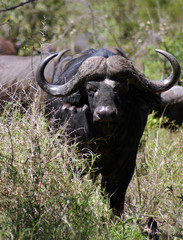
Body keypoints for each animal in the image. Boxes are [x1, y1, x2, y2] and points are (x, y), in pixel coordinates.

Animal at [35, 47, 180, 216]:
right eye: (91, 89)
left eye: (121, 88)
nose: (105, 113)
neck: (106, 140)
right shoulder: (79, 161)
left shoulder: (126, 165)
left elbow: (114, 198)